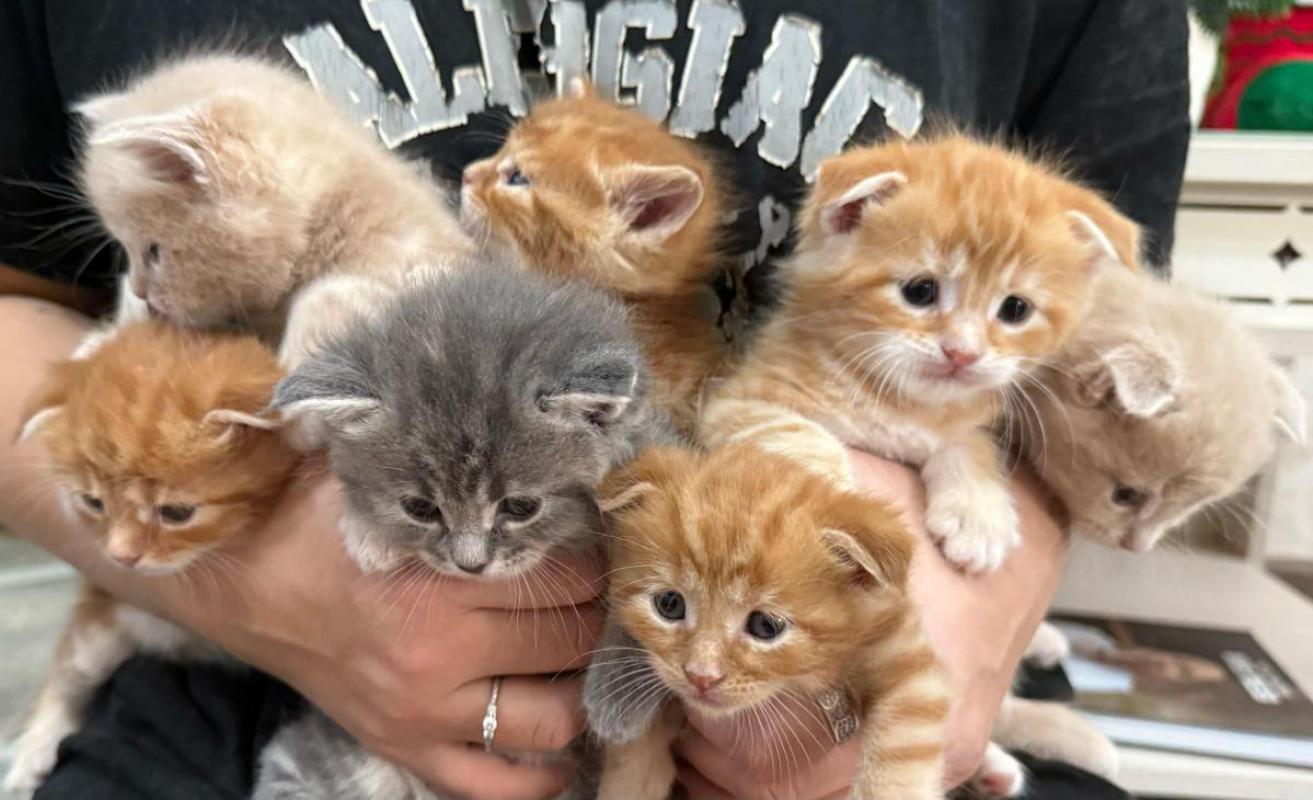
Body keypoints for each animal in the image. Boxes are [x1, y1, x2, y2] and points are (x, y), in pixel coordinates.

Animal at [585, 442, 950, 800]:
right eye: (669, 605)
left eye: (765, 626)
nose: (701, 677)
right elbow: (634, 768)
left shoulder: (903, 652)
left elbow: (904, 744)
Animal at [698, 135, 1139, 573]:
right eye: (920, 291)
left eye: (1015, 309)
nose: (962, 352)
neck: (901, 403)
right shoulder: (737, 399)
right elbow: (797, 435)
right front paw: (827, 500)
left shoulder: (963, 419)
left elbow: (968, 442)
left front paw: (979, 511)